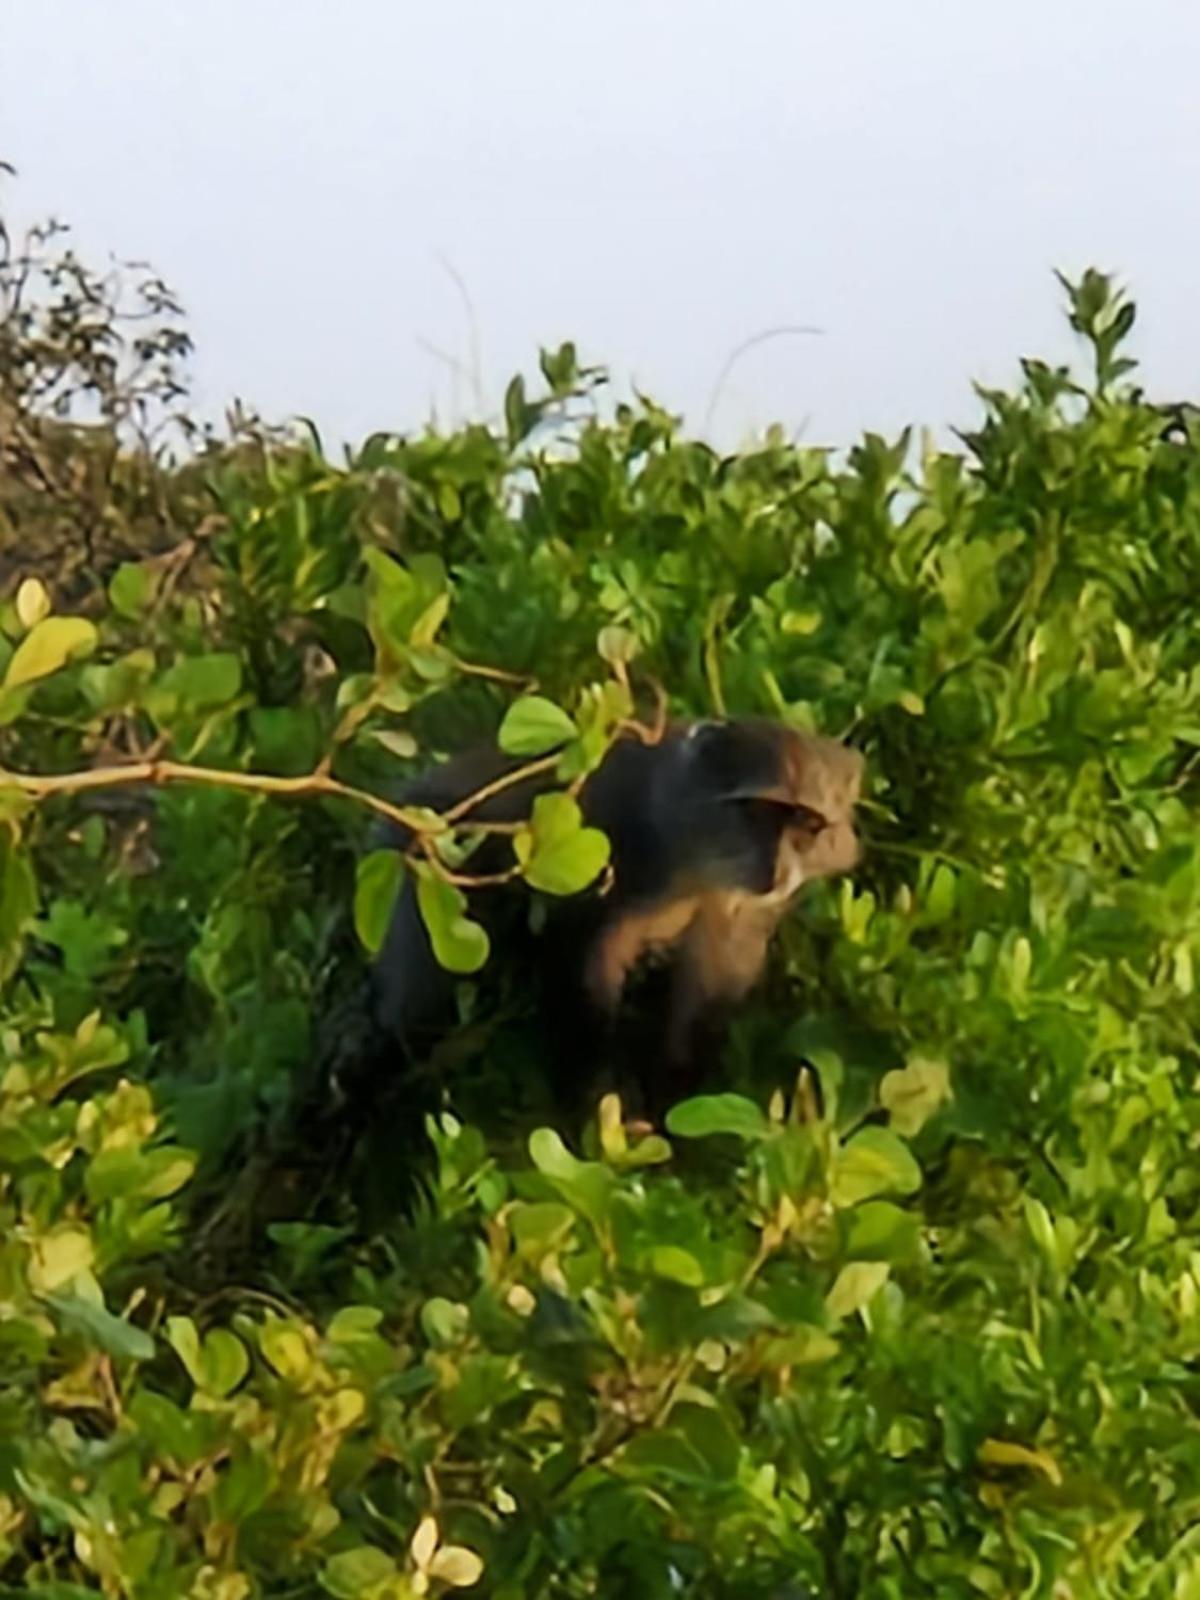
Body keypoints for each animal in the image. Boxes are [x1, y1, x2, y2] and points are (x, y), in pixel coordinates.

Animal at [364, 716, 863, 1121]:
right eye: (755, 809)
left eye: (809, 825)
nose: (776, 871)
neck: (696, 869)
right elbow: (579, 974)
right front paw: (593, 1109)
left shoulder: (735, 920)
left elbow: (705, 996)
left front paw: (669, 1102)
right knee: (412, 1010)